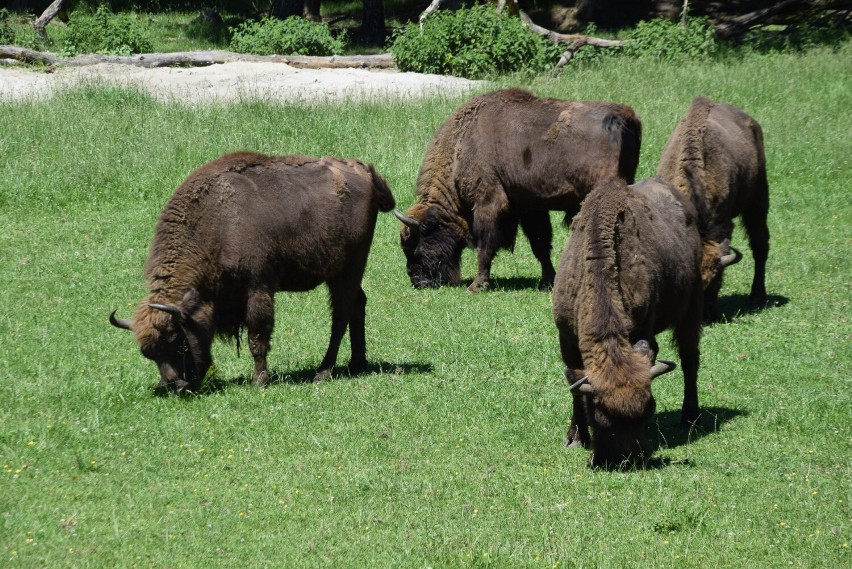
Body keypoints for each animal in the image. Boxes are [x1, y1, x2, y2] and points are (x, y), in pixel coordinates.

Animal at [109, 150, 396, 390]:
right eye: (149, 354)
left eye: (177, 342)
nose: (175, 386)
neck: (216, 220)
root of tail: (366, 172)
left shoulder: (258, 287)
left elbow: (257, 336)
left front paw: (259, 381)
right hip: (343, 273)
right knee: (357, 304)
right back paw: (357, 363)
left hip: (346, 270)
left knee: (340, 316)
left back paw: (323, 372)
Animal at [392, 89, 640, 292]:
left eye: (416, 244)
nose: (417, 280)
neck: (461, 144)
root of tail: (623, 117)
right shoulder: (530, 208)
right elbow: (540, 244)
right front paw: (547, 280)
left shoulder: (488, 203)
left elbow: (485, 246)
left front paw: (477, 286)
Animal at [552, 175, 740, 468]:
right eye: (600, 417)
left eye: (649, 410)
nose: (627, 459)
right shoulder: (567, 339)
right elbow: (576, 389)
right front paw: (575, 438)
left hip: (691, 310)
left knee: (690, 360)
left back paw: (690, 415)